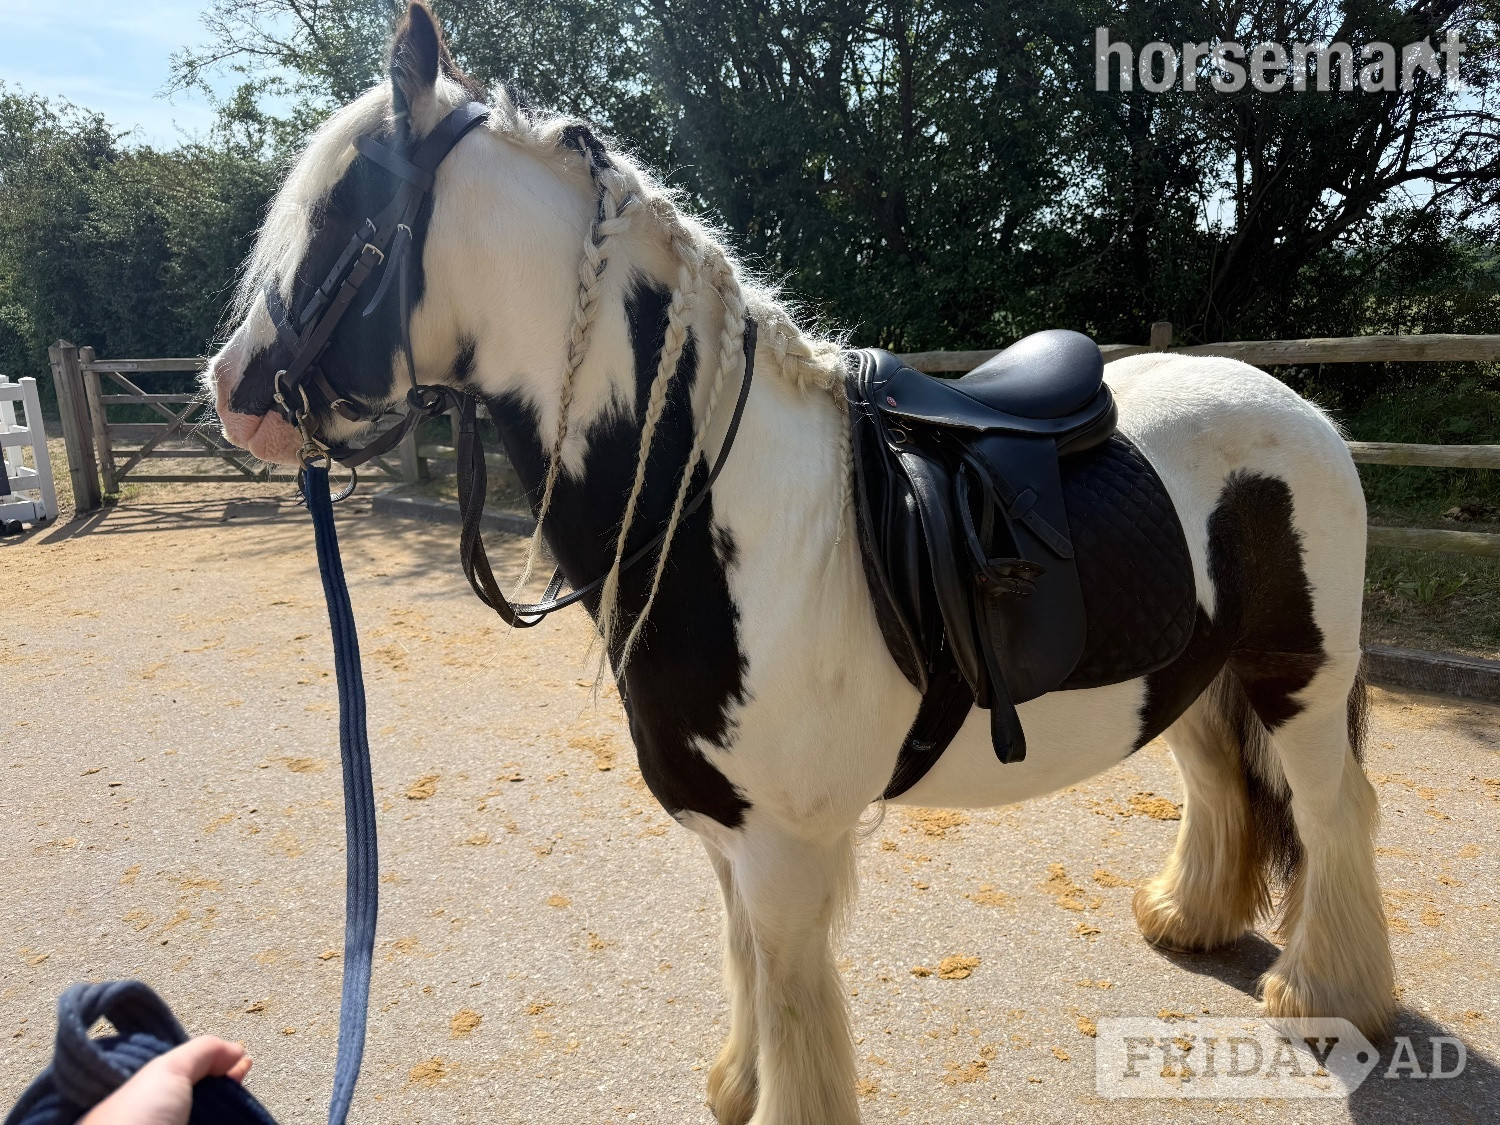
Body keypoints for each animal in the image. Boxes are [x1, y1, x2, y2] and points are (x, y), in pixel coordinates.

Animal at [206, 5, 1394, 1121]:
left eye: (344, 209)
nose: (231, 389)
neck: (723, 514)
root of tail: (1302, 410)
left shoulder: (783, 850)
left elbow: (788, 996)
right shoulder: (728, 833)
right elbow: (745, 965)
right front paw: (737, 1081)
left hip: (1296, 677)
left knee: (1334, 811)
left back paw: (1327, 997)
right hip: (1192, 678)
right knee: (1224, 788)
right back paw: (1189, 918)